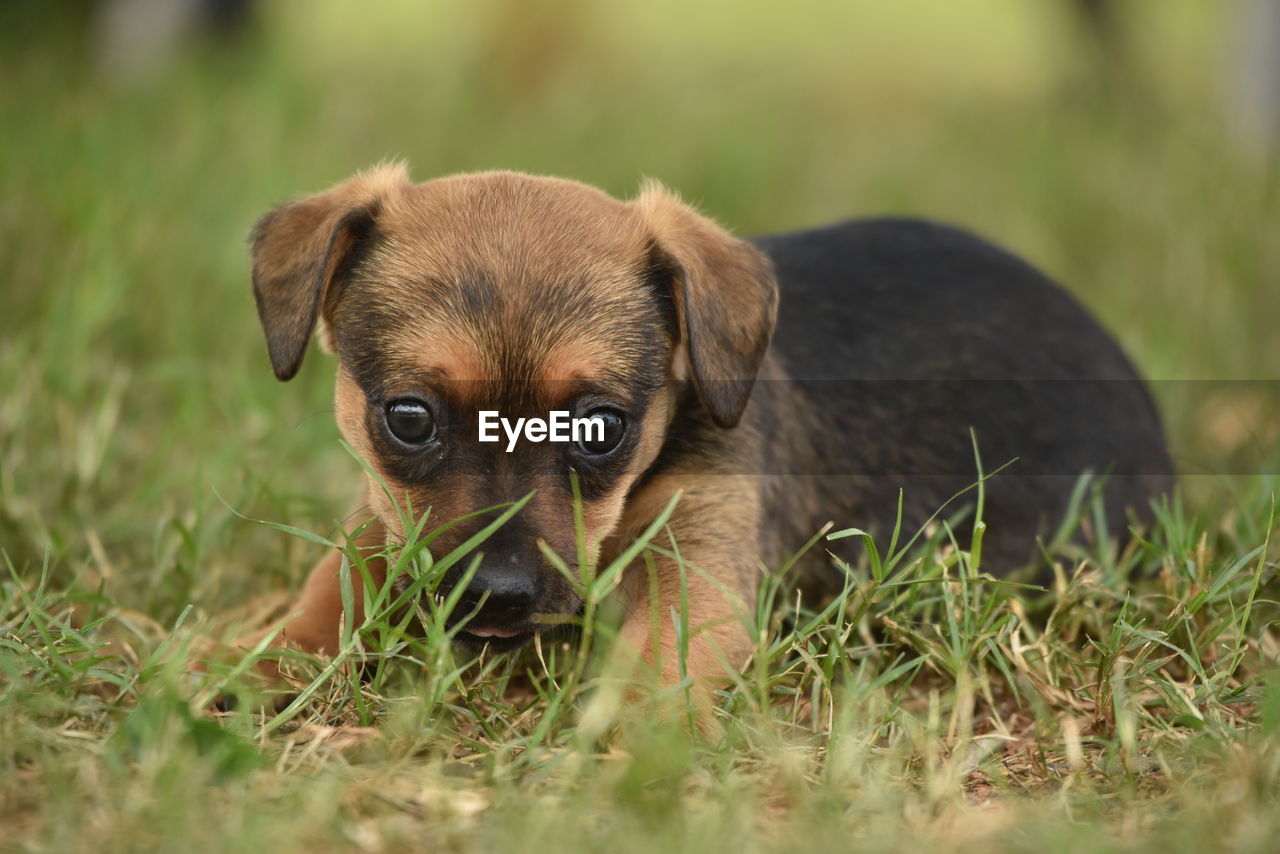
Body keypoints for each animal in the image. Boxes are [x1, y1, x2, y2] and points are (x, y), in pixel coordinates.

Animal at [244, 165, 1172, 701]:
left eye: (600, 429)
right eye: (409, 418)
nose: (497, 596)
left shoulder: (701, 564)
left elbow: (657, 669)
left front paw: (610, 761)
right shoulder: (384, 519)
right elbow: (334, 584)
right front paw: (254, 671)